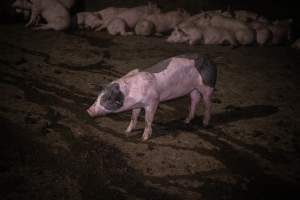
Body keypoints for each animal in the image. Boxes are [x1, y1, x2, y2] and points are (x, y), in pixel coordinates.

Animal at [85, 53, 217, 141]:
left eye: (107, 99)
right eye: (98, 97)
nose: (88, 111)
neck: (130, 93)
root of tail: (210, 60)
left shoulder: (153, 101)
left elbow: (148, 120)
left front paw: (144, 138)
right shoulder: (137, 105)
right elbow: (134, 117)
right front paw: (126, 131)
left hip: (207, 86)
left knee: (208, 104)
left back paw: (205, 124)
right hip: (193, 89)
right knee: (194, 100)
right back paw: (186, 121)